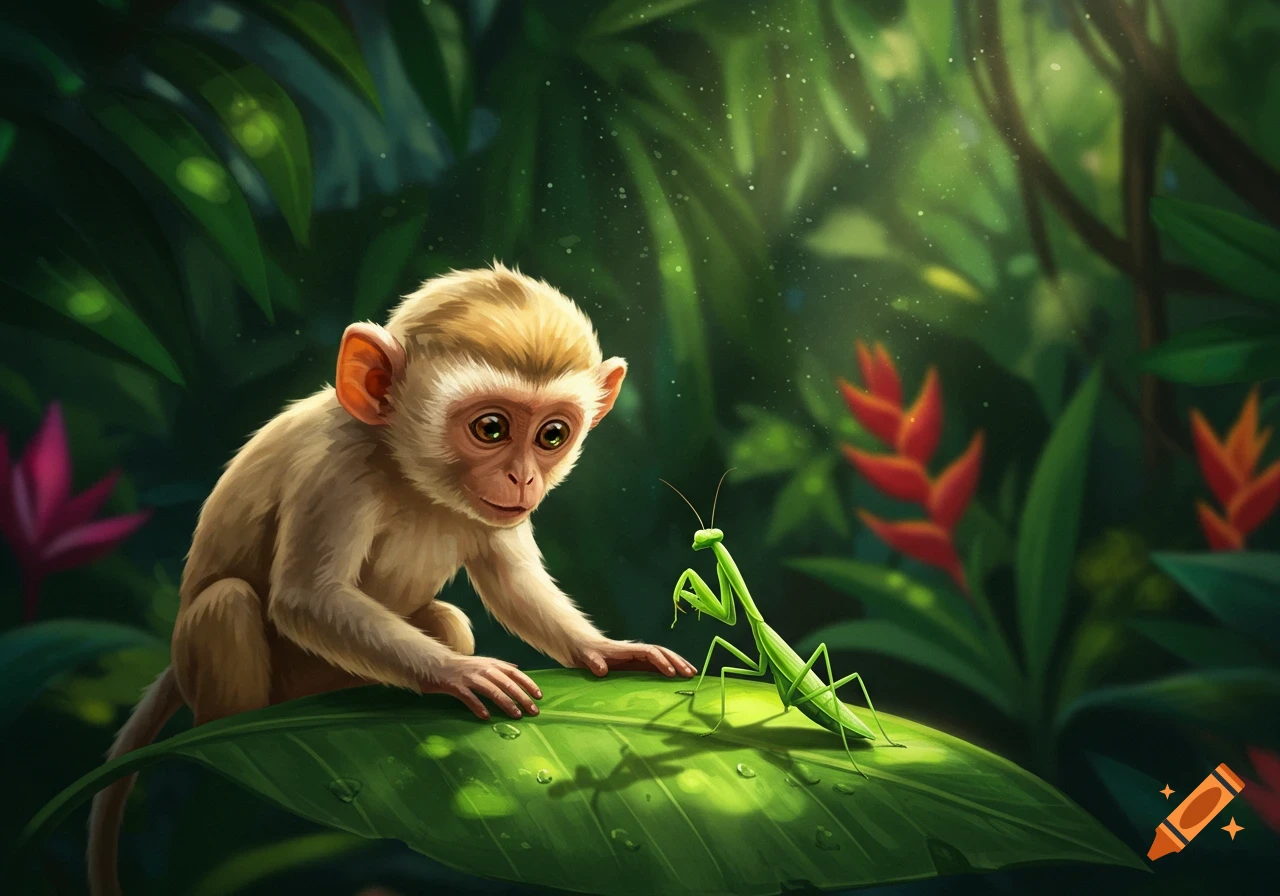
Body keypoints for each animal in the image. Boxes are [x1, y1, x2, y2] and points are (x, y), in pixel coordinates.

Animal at [86, 263, 696, 896]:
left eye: (552, 435)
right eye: (492, 428)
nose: (523, 478)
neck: (409, 471)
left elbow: (513, 587)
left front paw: (607, 649)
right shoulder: (336, 469)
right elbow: (307, 598)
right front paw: (458, 673)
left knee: (448, 619)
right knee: (227, 601)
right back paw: (231, 732)